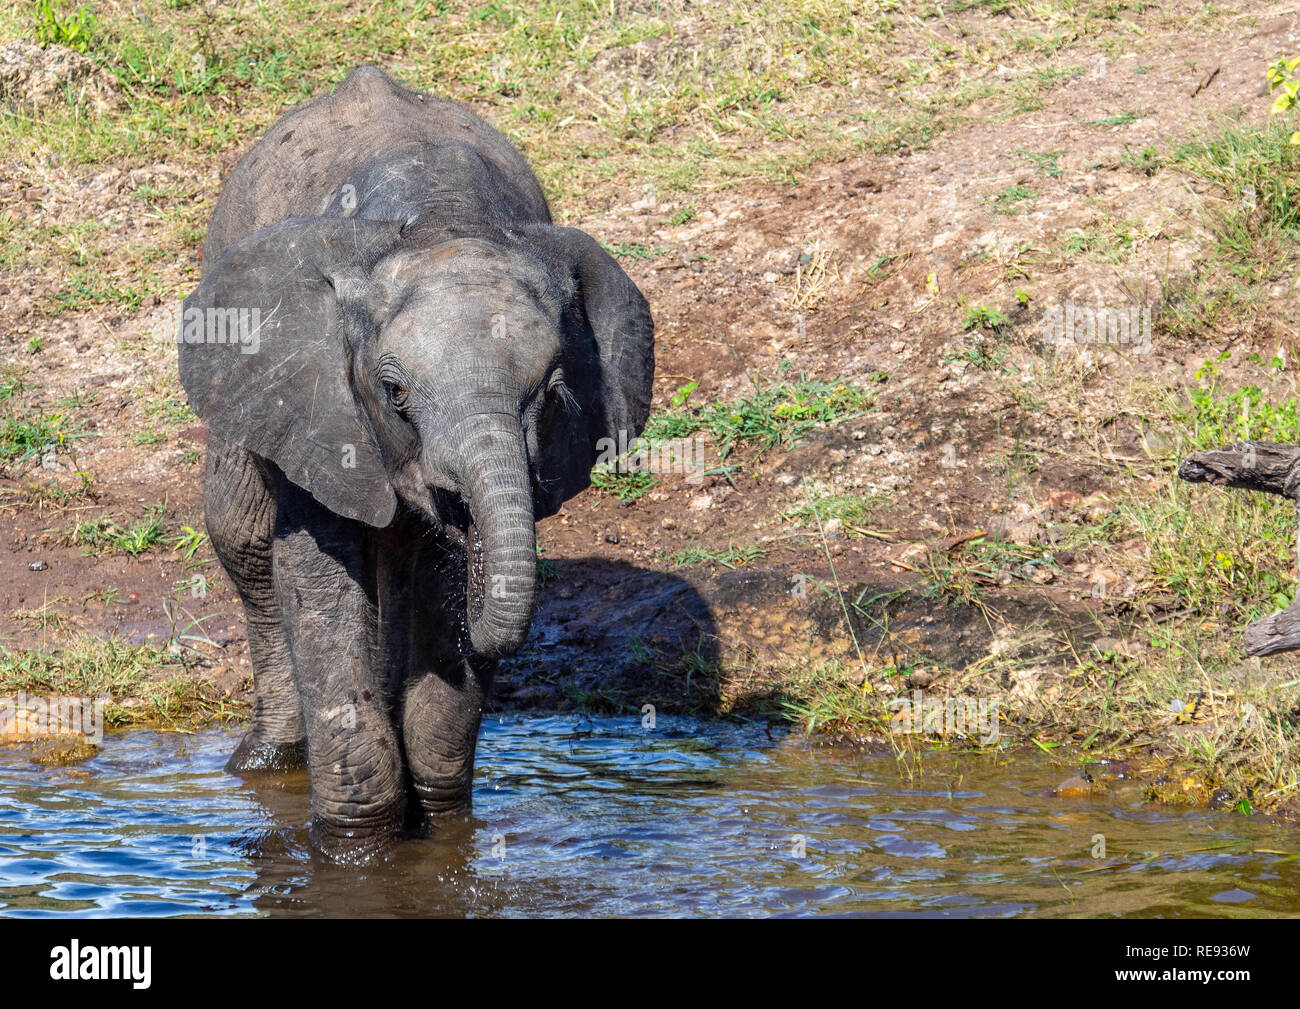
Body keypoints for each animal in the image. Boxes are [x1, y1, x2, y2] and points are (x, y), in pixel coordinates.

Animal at [178, 66, 655, 863]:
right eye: (394, 392)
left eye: (554, 391)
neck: (438, 218)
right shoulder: (318, 399)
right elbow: (316, 579)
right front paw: (357, 850)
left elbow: (443, 587)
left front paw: (434, 822)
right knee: (242, 540)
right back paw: (265, 763)